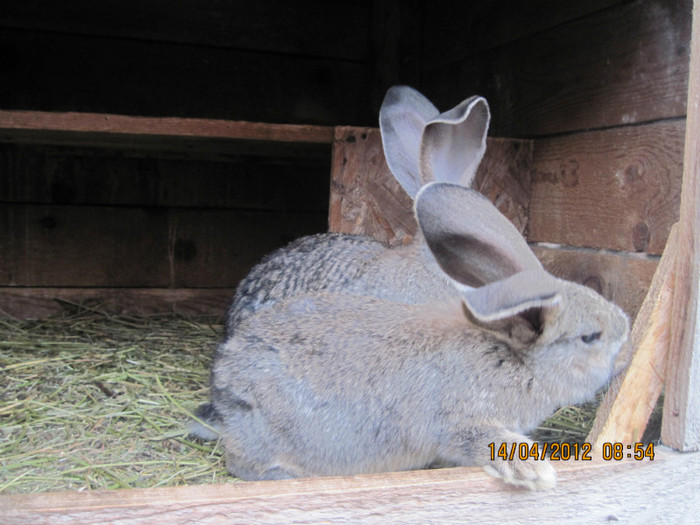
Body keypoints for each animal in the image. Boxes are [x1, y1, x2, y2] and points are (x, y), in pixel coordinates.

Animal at [206, 182, 628, 490]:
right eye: (590, 337)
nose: (626, 336)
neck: (513, 361)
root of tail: (225, 373)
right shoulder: (461, 424)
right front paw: (536, 474)